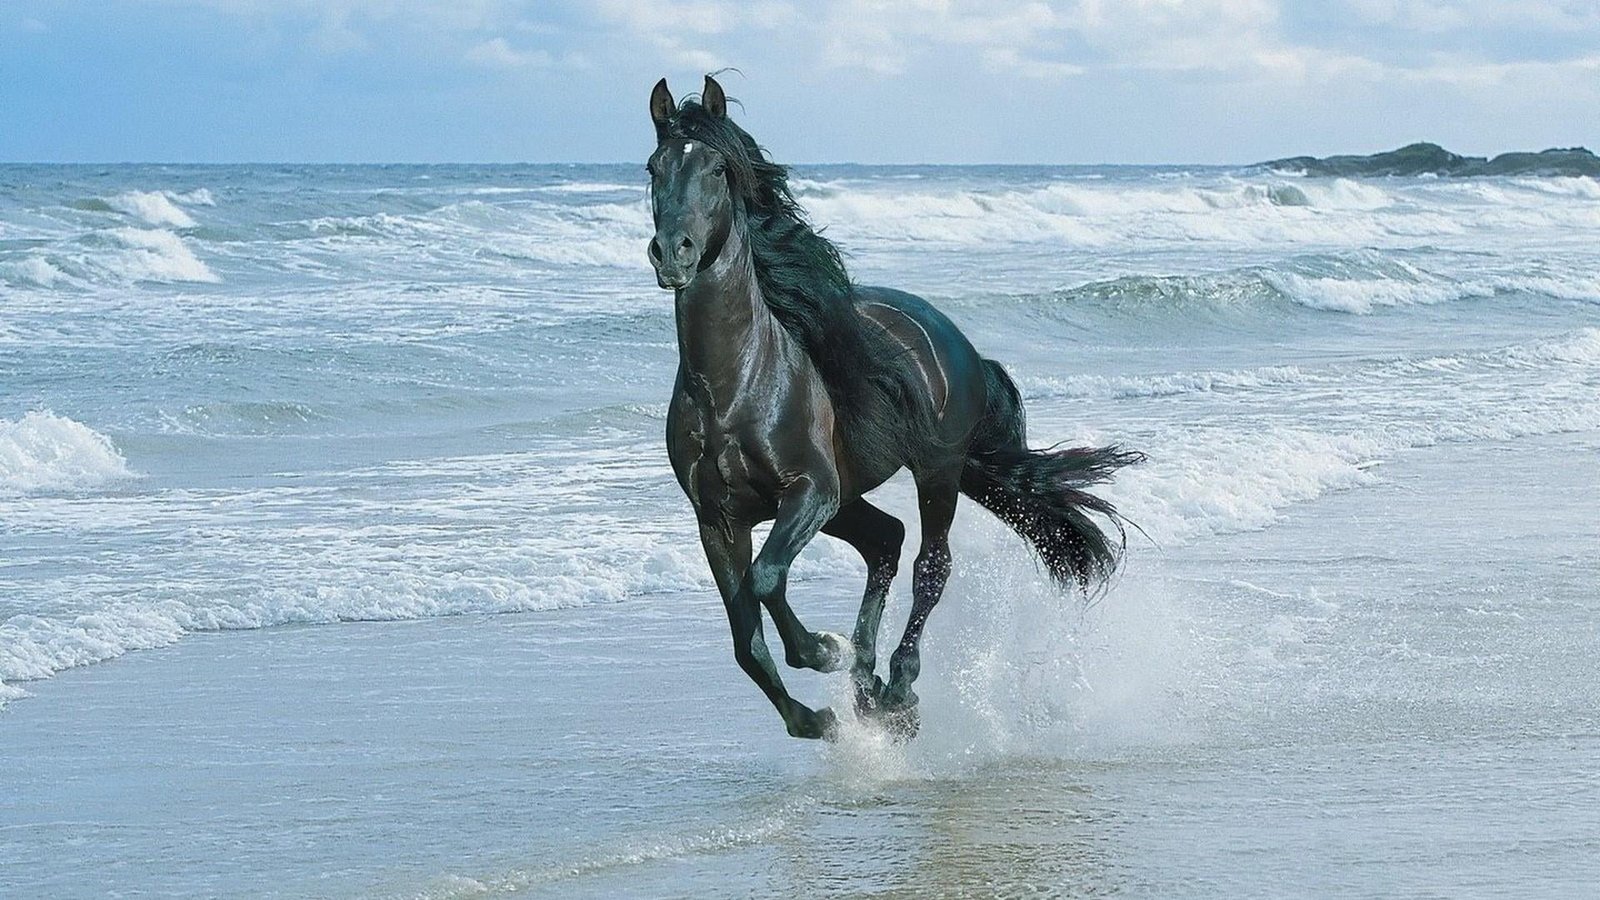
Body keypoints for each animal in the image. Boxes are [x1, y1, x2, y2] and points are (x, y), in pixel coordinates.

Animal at [647, 75, 1141, 740]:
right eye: (654, 168)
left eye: (719, 169)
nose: (672, 253)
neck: (734, 385)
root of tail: (955, 340)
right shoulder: (718, 519)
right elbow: (745, 641)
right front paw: (817, 717)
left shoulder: (810, 490)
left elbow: (768, 580)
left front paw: (823, 650)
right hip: (851, 498)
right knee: (886, 541)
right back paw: (867, 685)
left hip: (934, 473)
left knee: (931, 565)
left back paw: (897, 686)